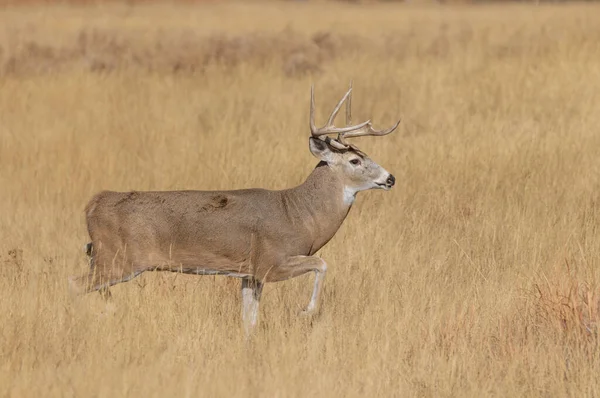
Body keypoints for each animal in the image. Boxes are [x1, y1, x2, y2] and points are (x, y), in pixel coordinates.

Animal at [69, 84, 398, 336]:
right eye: (355, 160)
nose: (390, 178)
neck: (300, 214)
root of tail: (94, 203)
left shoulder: (249, 274)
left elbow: (249, 321)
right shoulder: (270, 262)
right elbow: (322, 263)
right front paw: (306, 311)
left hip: (105, 257)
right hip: (117, 259)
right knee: (73, 284)